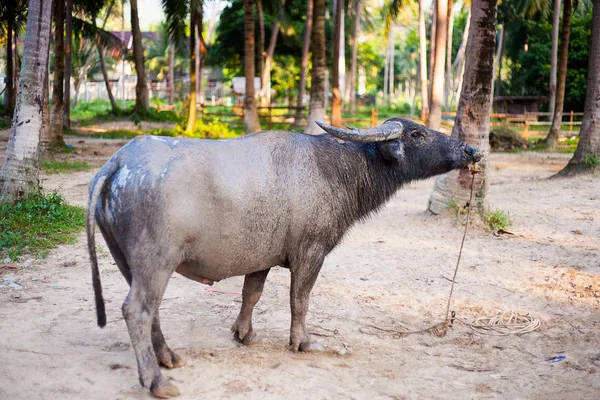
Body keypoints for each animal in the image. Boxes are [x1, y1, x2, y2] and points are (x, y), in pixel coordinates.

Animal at [86, 118, 480, 396]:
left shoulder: (261, 258)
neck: (335, 169)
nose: (471, 151)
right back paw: (156, 381)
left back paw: (168, 358)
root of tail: (118, 162)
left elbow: (251, 294)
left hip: (128, 261)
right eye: (417, 134)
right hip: (156, 261)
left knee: (149, 310)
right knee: (137, 310)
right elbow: (300, 300)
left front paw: (244, 334)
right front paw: (303, 342)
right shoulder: (311, 252)